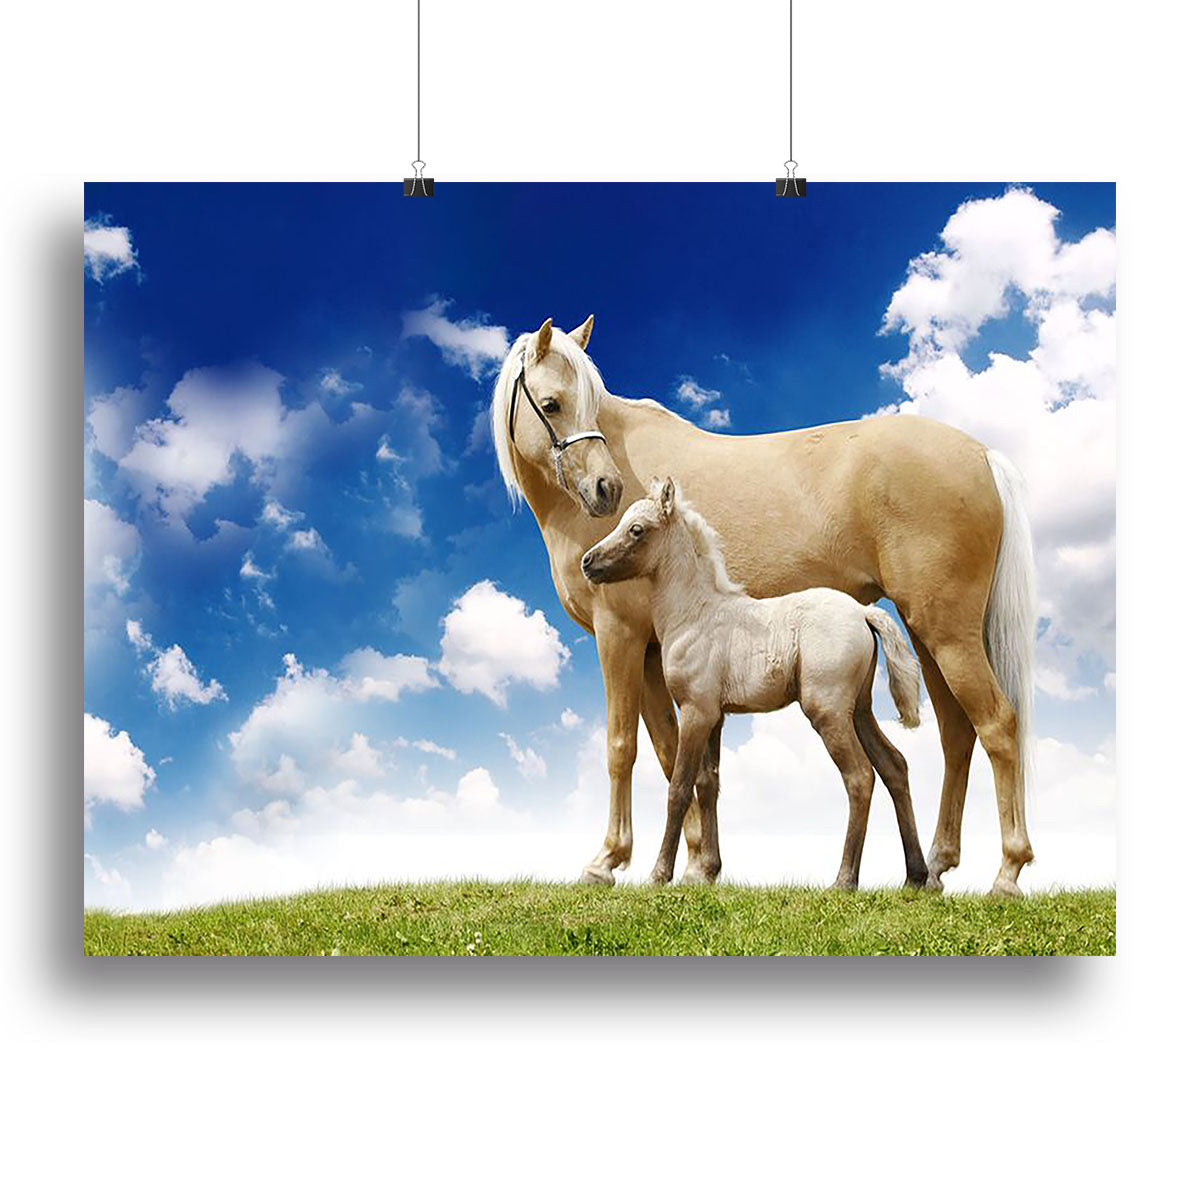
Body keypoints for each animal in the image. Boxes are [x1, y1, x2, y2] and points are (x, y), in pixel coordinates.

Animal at [582, 477, 928, 890]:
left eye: (636, 529)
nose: (587, 562)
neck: (696, 614)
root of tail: (862, 611)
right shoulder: (715, 717)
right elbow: (708, 785)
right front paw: (707, 871)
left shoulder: (696, 712)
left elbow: (679, 788)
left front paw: (659, 874)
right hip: (858, 711)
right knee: (895, 766)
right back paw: (916, 876)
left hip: (827, 712)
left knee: (860, 777)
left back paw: (844, 879)